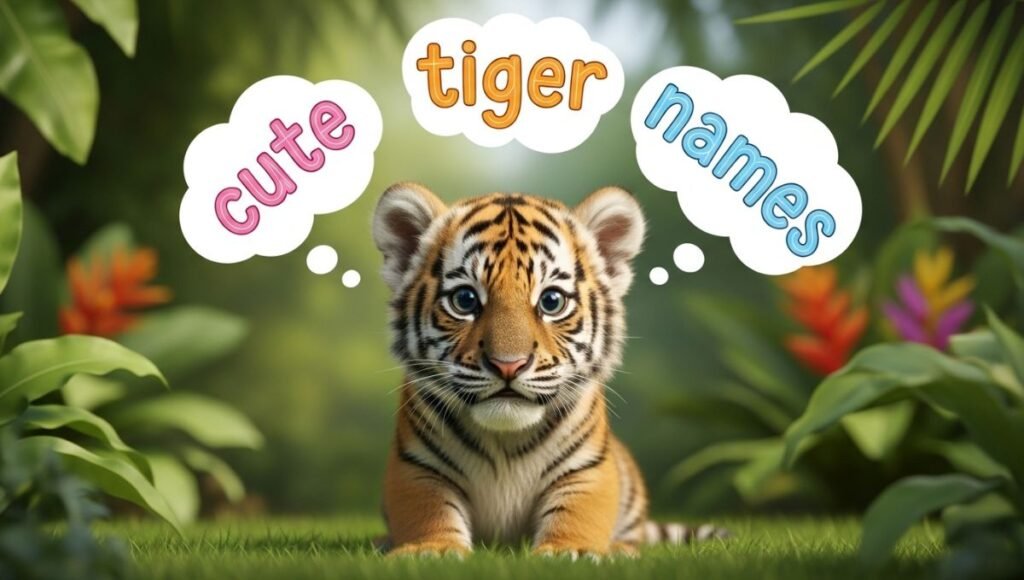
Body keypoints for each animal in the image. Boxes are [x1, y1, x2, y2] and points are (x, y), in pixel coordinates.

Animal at [371, 182, 727, 558]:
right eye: (465, 300)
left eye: (551, 301)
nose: (508, 364)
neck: (503, 441)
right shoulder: (417, 465)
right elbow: (428, 508)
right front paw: (433, 548)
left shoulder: (586, 466)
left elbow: (580, 509)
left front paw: (571, 550)